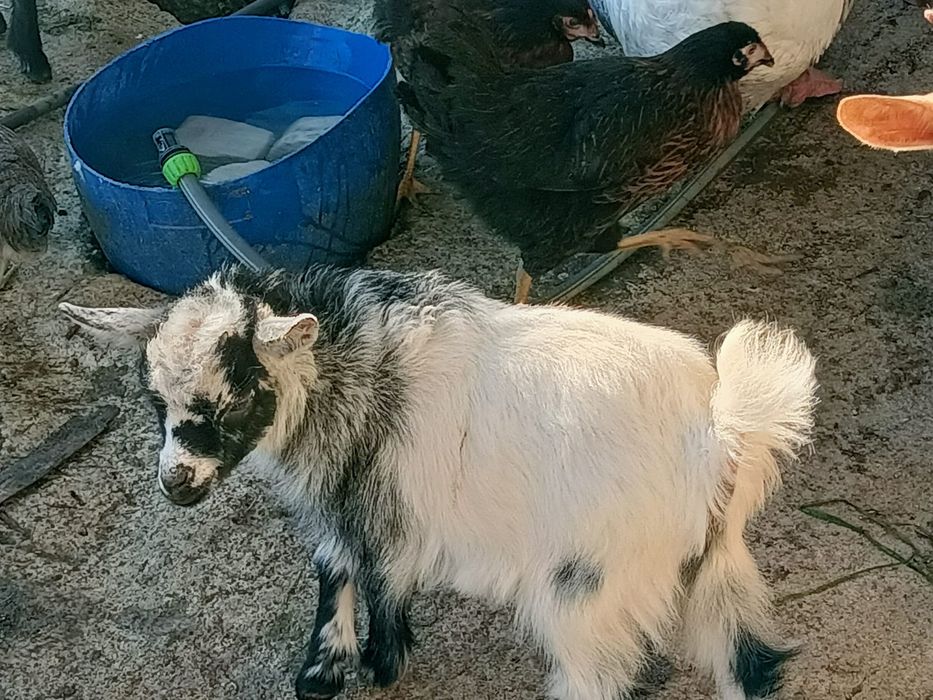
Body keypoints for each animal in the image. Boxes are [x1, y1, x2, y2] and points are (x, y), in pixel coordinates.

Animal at [59, 265, 817, 700]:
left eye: (234, 398)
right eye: (154, 401)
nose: (177, 483)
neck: (353, 374)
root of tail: (718, 433)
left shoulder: (383, 506)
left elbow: (374, 574)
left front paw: (379, 663)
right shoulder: (351, 501)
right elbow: (334, 564)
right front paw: (324, 670)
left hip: (586, 584)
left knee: (597, 677)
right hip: (712, 563)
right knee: (750, 663)